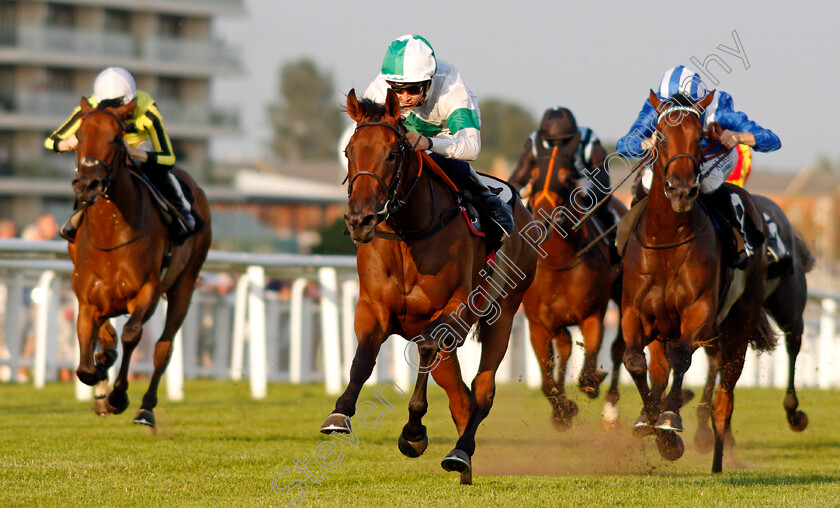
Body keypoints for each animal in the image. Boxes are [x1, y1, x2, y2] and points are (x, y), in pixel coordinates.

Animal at [69, 97, 213, 426]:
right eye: (79, 136)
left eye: (116, 137)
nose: (87, 185)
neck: (110, 234)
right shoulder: (87, 300)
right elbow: (86, 366)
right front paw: (101, 377)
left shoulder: (147, 291)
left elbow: (131, 335)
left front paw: (118, 396)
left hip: (184, 285)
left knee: (163, 346)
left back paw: (145, 408)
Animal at [322, 89, 540, 486]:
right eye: (349, 151)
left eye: (393, 153)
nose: (360, 219)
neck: (409, 233)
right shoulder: (373, 306)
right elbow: (363, 357)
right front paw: (340, 413)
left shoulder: (454, 309)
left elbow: (425, 347)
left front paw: (413, 433)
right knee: (459, 396)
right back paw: (464, 465)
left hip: (503, 312)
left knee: (482, 389)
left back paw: (460, 453)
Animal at [516, 141, 628, 430]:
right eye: (533, 176)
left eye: (566, 178)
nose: (543, 218)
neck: (558, 263)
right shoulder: (538, 325)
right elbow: (547, 382)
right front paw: (563, 411)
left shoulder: (592, 316)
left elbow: (588, 374)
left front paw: (592, 385)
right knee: (565, 345)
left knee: (618, 348)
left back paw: (611, 412)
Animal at [624, 90, 776, 472]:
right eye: (660, 135)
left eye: (699, 138)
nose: (681, 190)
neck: (667, 241)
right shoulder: (634, 312)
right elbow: (635, 362)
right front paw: (650, 422)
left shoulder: (699, 311)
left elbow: (682, 358)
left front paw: (668, 424)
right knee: (659, 368)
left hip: (739, 323)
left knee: (724, 398)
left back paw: (718, 459)